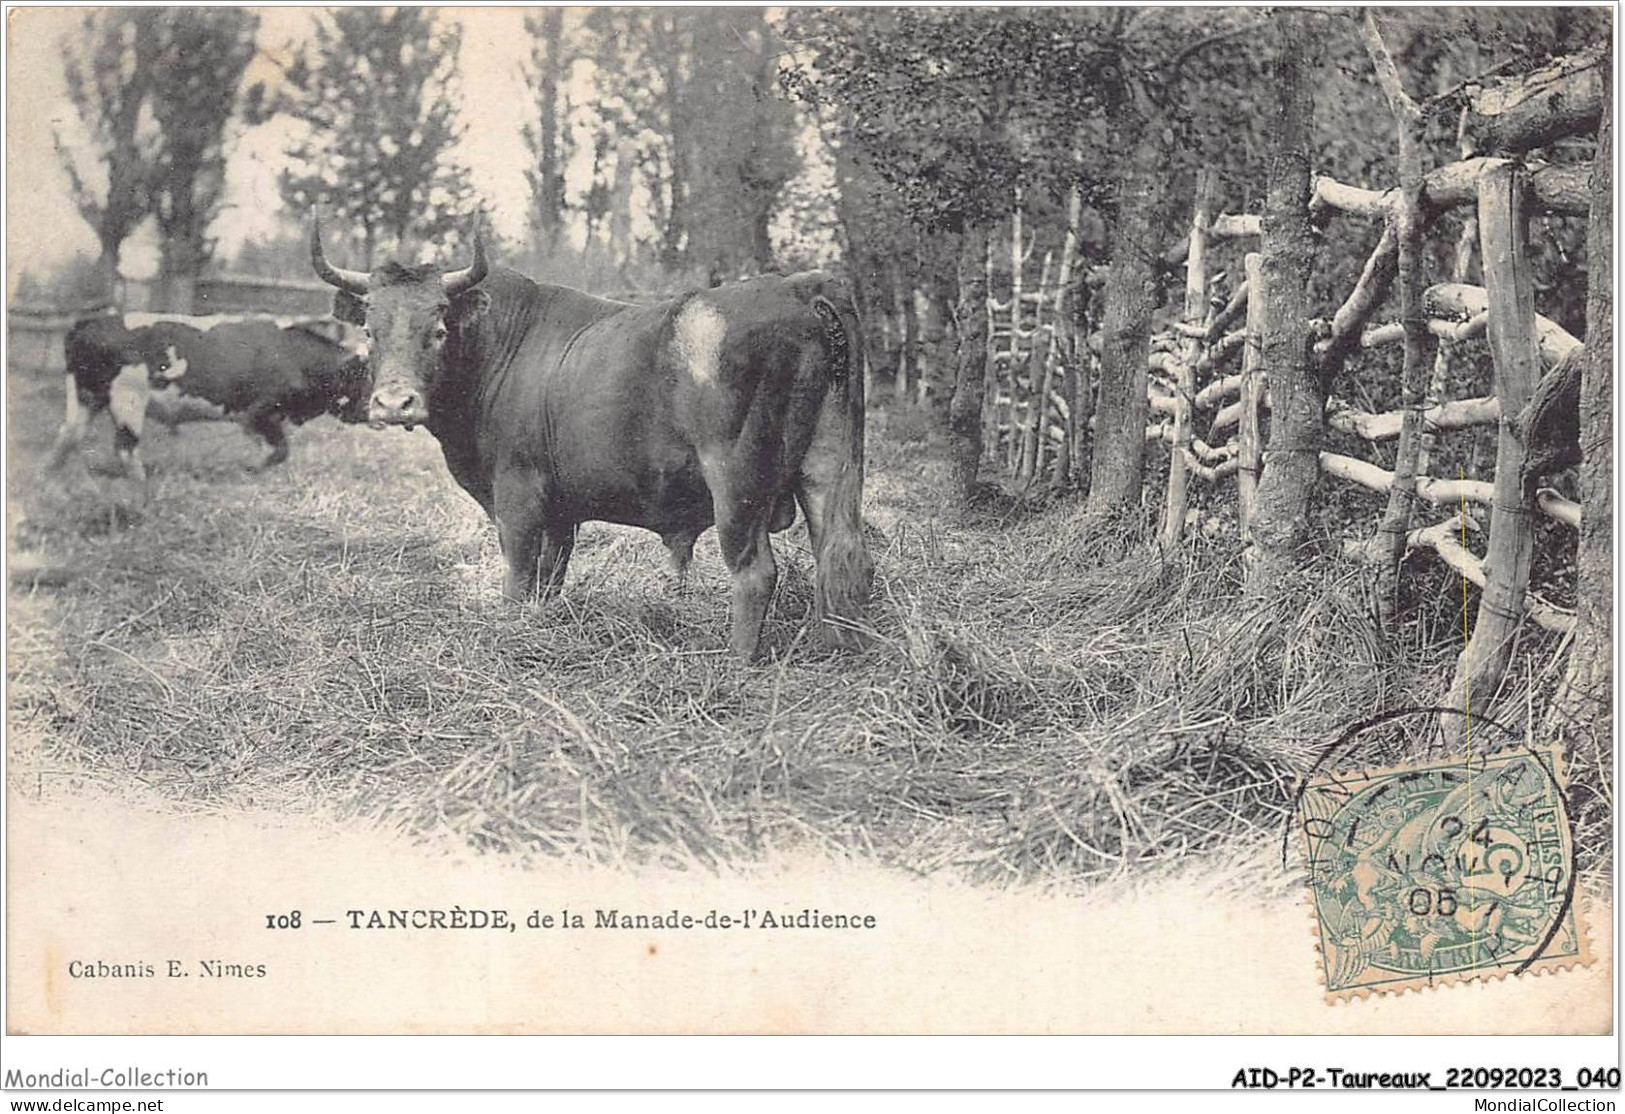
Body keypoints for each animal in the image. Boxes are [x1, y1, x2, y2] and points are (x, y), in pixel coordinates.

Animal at [49, 311, 372, 477]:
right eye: (364, 375)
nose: (374, 410)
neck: (294, 354)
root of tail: (90, 322)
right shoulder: (258, 413)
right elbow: (279, 451)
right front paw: (244, 469)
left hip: (86, 396)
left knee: (67, 437)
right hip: (128, 399)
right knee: (125, 449)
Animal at [315, 230, 877, 662]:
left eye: (438, 327)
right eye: (370, 329)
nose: (395, 403)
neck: (501, 347)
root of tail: (799, 286)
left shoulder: (517, 499)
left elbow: (518, 578)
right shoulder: (561, 513)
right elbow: (548, 578)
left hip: (737, 487)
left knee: (756, 572)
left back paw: (736, 660)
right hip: (828, 469)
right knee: (843, 553)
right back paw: (838, 648)